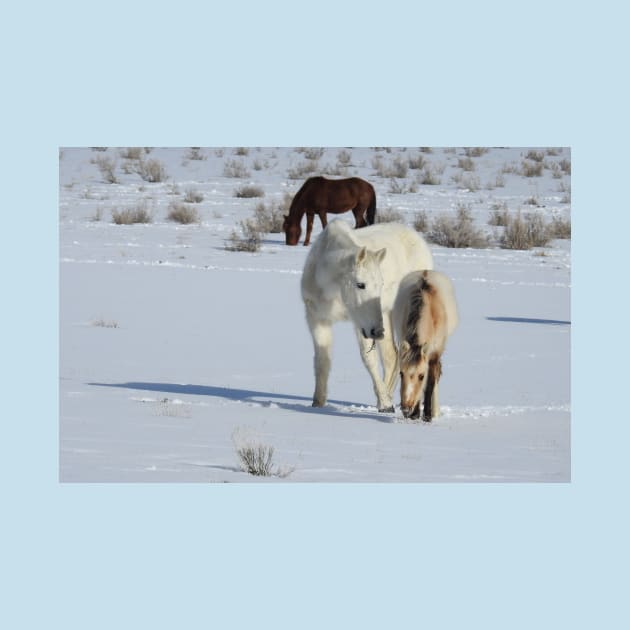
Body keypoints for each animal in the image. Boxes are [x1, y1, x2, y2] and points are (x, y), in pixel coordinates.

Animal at [302, 220, 434, 412]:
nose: (378, 332)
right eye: (360, 284)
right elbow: (322, 360)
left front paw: (386, 404)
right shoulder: (317, 319)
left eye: (381, 284)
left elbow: (368, 359)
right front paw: (317, 403)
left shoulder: (361, 323)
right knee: (392, 356)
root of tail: (418, 239)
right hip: (385, 314)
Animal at [396, 270, 460, 422]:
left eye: (421, 376)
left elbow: (430, 383)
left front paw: (427, 415)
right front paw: (415, 415)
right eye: (401, 373)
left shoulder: (434, 355)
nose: (406, 409)